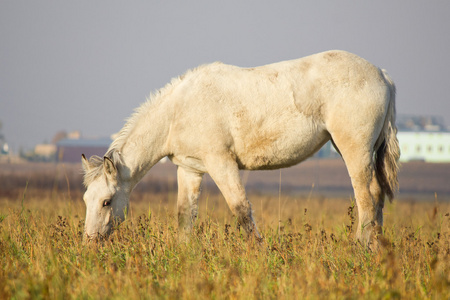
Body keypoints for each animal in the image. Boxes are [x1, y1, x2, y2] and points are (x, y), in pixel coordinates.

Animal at [82, 49, 400, 246]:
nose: (89, 243)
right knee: (376, 198)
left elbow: (242, 211)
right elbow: (185, 216)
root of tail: (383, 75)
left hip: (354, 150)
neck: (178, 111)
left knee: (366, 199)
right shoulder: (189, 169)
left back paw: (359, 249)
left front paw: (259, 253)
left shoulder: (221, 163)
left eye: (107, 201)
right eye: (87, 199)